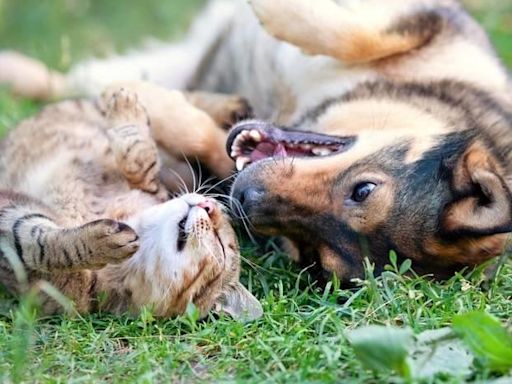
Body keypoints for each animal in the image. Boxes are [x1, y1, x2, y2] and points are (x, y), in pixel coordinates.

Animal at [0, 84, 262, 320]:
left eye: (221, 244)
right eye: (220, 212)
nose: (209, 205)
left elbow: (42, 248)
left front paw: (100, 242)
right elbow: (140, 158)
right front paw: (126, 110)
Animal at [1, 0, 512, 282]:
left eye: (313, 254)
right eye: (363, 189)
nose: (243, 200)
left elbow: (204, 138)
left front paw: (154, 105)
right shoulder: (431, 20)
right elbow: (358, 35)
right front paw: (276, 9)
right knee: (65, 77)